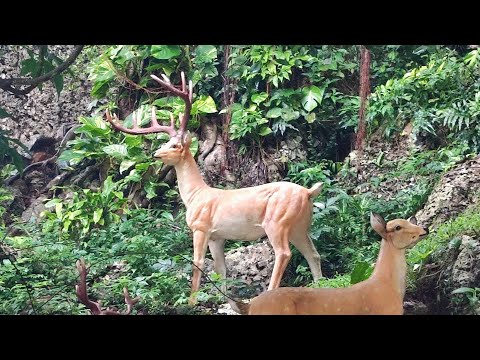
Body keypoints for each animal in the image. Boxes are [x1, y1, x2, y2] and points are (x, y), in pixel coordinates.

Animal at [105, 71, 322, 306]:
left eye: (174, 145)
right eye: (165, 143)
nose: (156, 154)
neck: (195, 196)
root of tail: (308, 193)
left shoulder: (200, 227)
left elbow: (197, 263)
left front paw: (192, 303)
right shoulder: (217, 236)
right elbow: (221, 268)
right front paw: (223, 299)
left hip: (277, 221)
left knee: (284, 253)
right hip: (299, 225)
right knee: (313, 253)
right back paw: (320, 286)